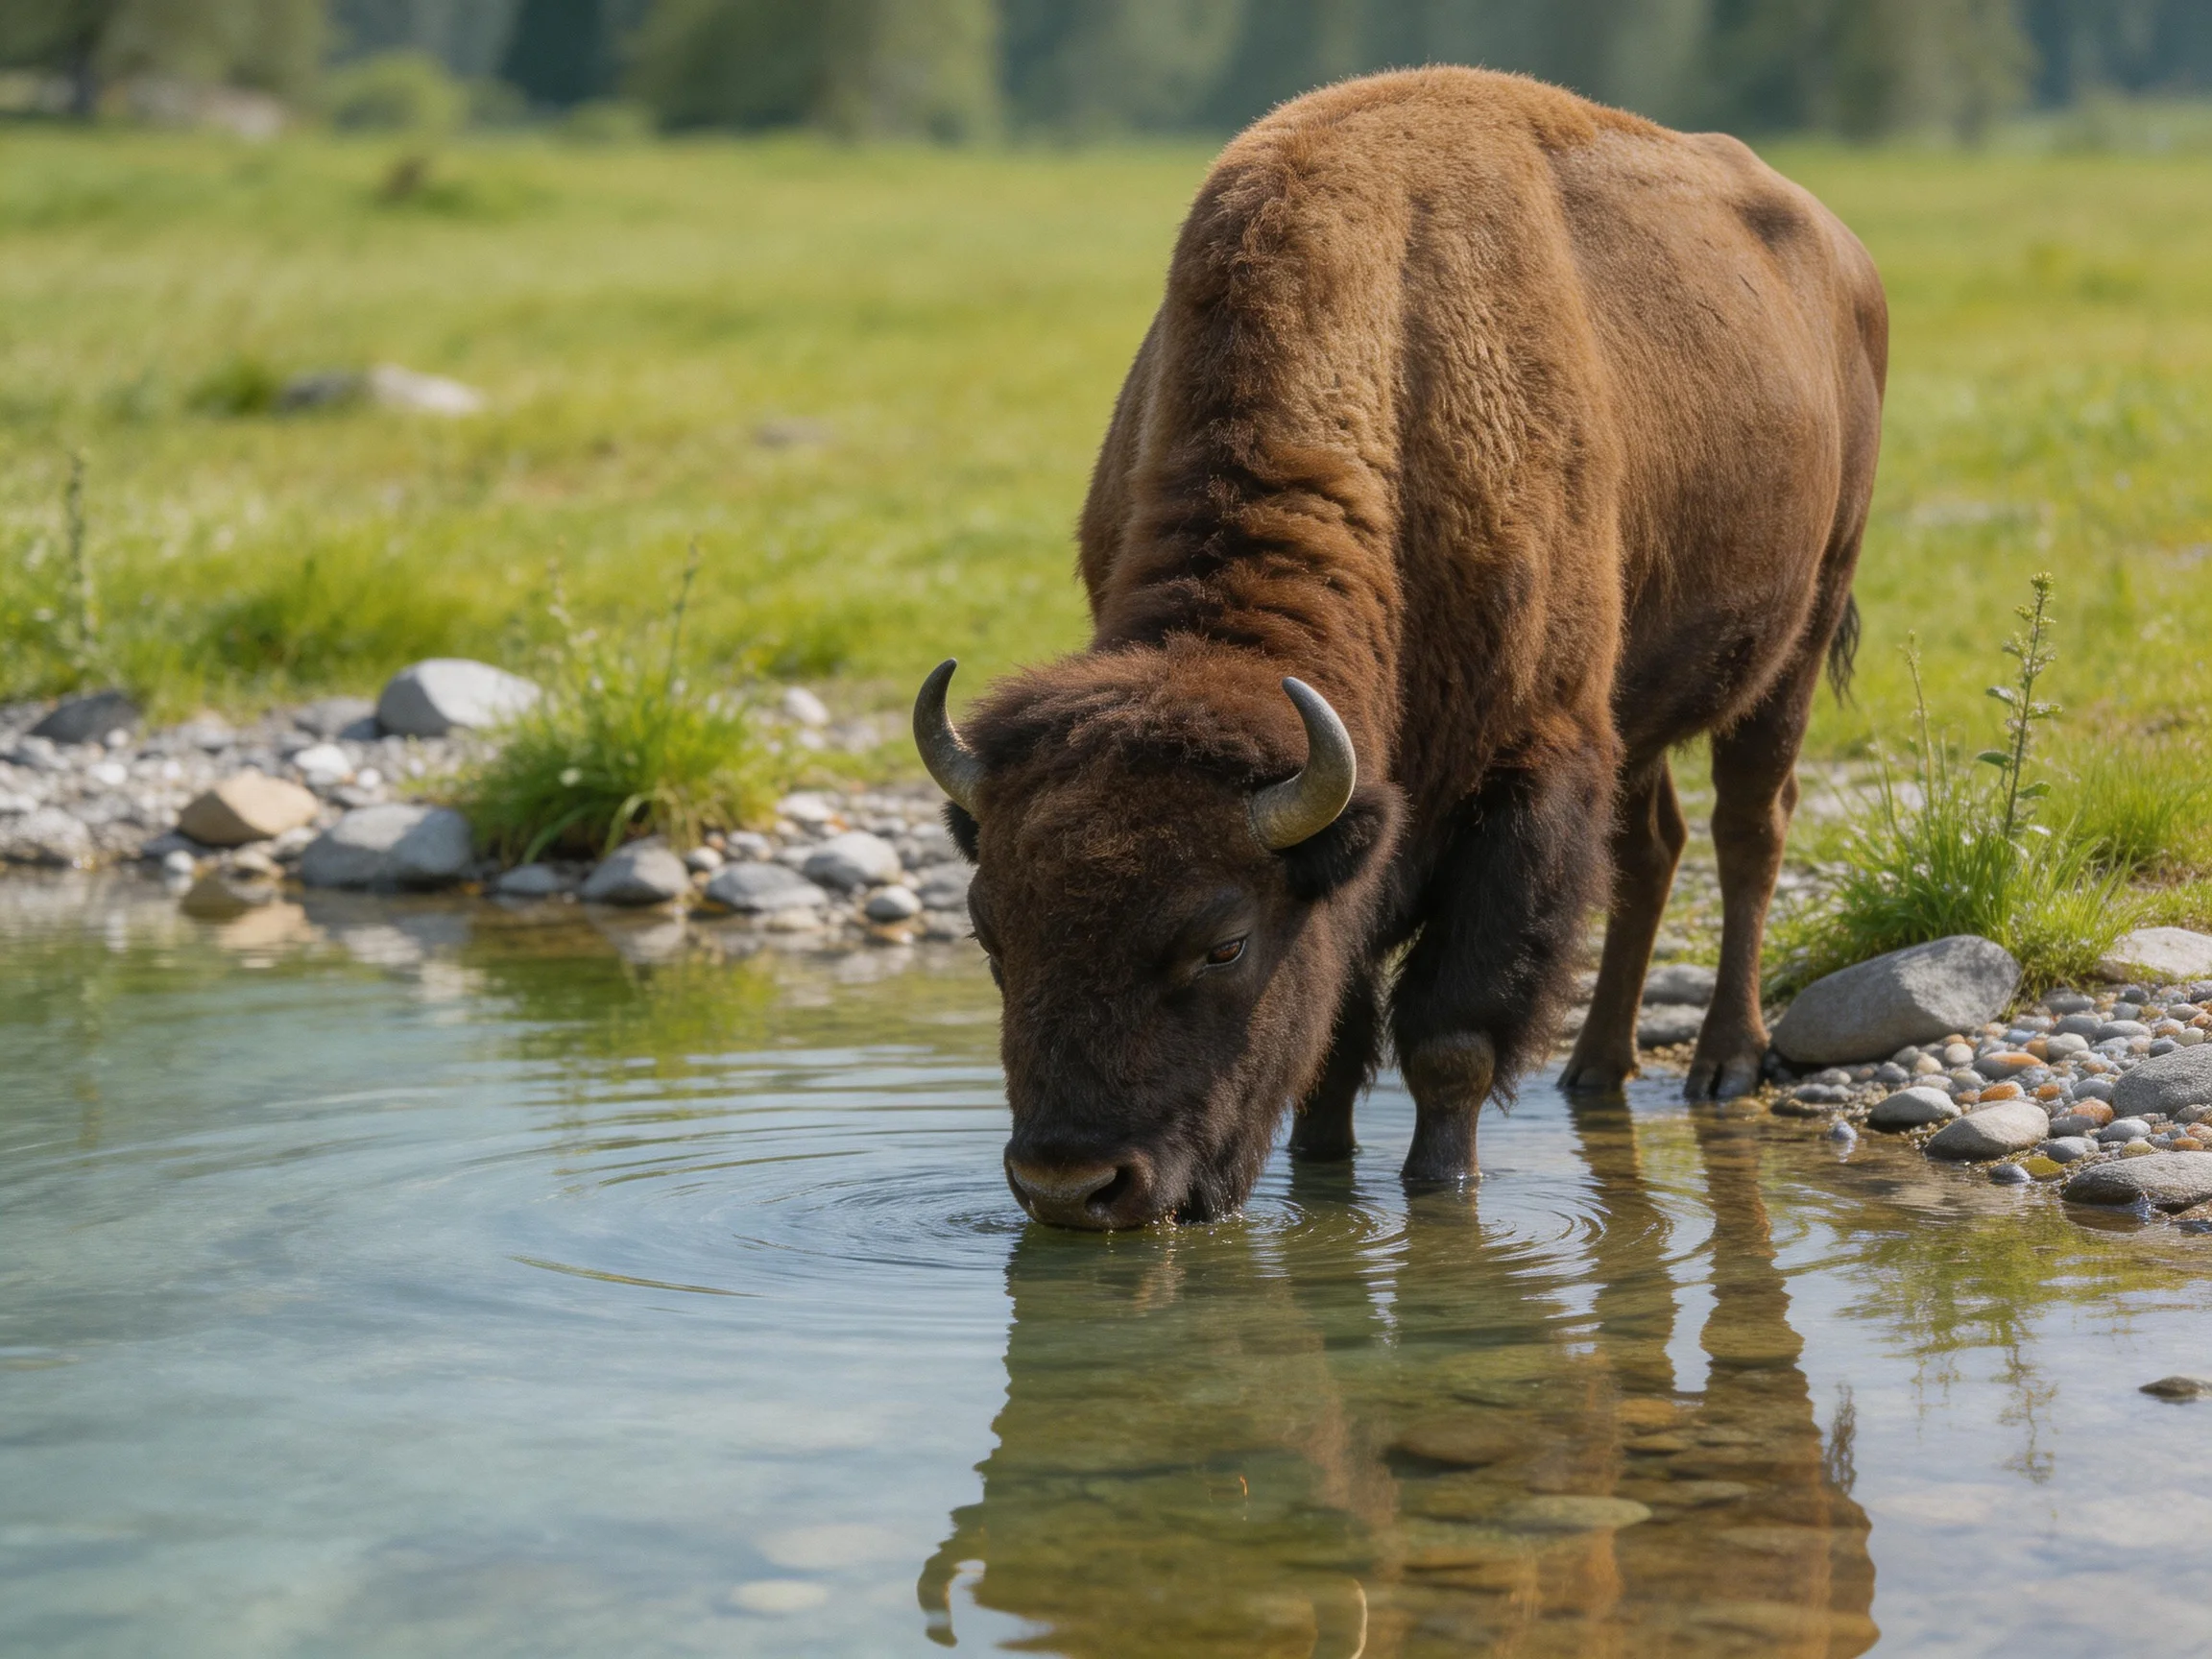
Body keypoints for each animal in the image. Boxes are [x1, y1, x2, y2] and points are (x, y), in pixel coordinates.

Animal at [915, 68, 1886, 1230]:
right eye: (991, 932)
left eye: (1223, 942)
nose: (1070, 1183)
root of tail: (1841, 249)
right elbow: (1335, 1040)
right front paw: (1323, 1174)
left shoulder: (1531, 771)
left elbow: (1449, 1039)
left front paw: (1439, 1191)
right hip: (1642, 705)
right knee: (1653, 845)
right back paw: (1595, 1069)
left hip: (1803, 629)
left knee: (1750, 829)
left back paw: (1725, 1064)